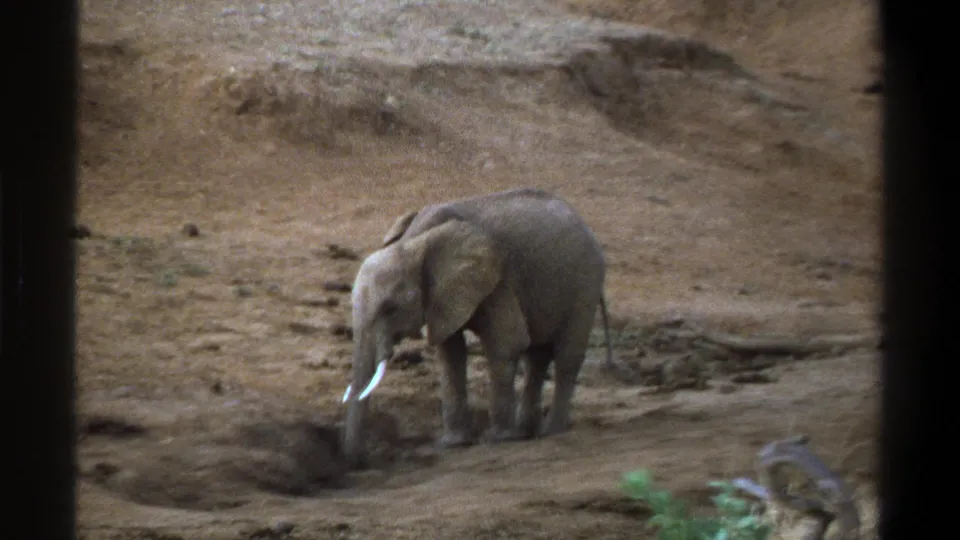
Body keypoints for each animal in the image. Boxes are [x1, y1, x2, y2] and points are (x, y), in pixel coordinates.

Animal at [340, 187, 612, 467]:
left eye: (390, 308)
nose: (359, 461)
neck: (414, 241)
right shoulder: (441, 296)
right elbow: (450, 353)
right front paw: (454, 443)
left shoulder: (497, 279)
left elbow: (506, 342)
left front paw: (499, 439)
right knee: (537, 356)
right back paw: (527, 432)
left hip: (586, 282)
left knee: (567, 355)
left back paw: (550, 431)